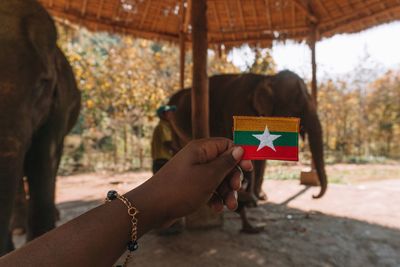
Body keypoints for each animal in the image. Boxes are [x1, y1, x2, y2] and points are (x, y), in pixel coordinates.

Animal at [169, 70, 328, 233]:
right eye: (298, 105)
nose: (314, 196)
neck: (266, 79)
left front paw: (259, 198)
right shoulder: (239, 109)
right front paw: (252, 200)